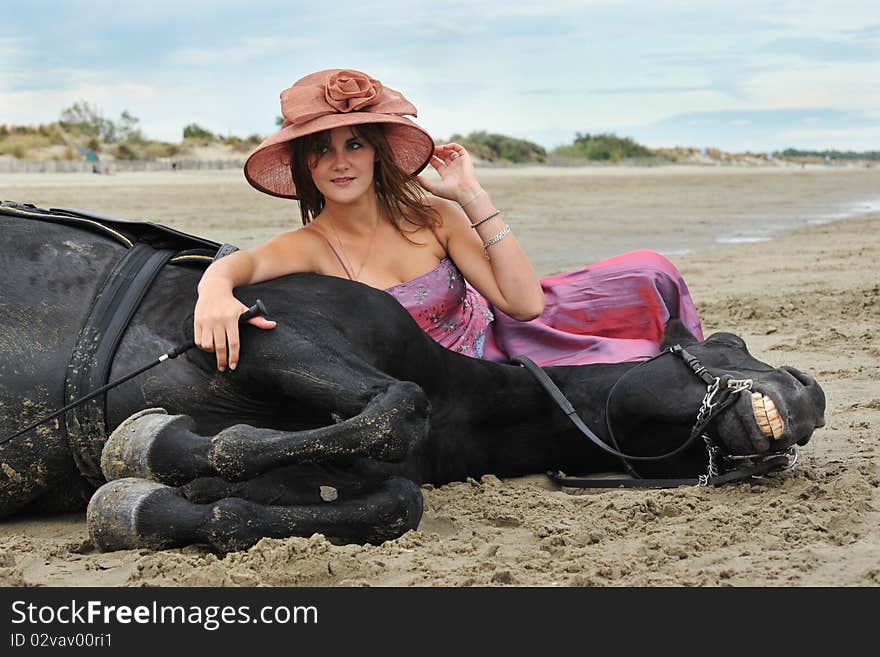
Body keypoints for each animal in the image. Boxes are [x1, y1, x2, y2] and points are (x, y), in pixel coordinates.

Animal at [0, 202, 824, 552]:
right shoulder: (266, 327)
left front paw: (162, 499)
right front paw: (150, 451)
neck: (466, 405)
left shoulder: (343, 470)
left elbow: (392, 500)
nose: (809, 388)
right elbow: (397, 405)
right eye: (723, 343)